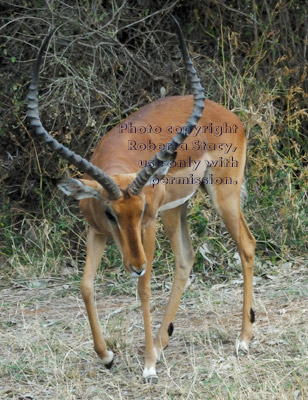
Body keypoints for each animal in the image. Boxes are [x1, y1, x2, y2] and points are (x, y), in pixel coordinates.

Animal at [27, 17, 256, 382]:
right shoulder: (97, 231)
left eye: (140, 209)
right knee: (185, 259)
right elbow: (86, 285)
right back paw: (163, 342)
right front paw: (106, 356)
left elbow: (145, 287)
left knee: (246, 245)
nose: (134, 264)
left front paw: (148, 367)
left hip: (223, 193)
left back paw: (243, 340)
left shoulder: (148, 224)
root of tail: (231, 116)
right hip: (177, 208)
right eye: (110, 213)